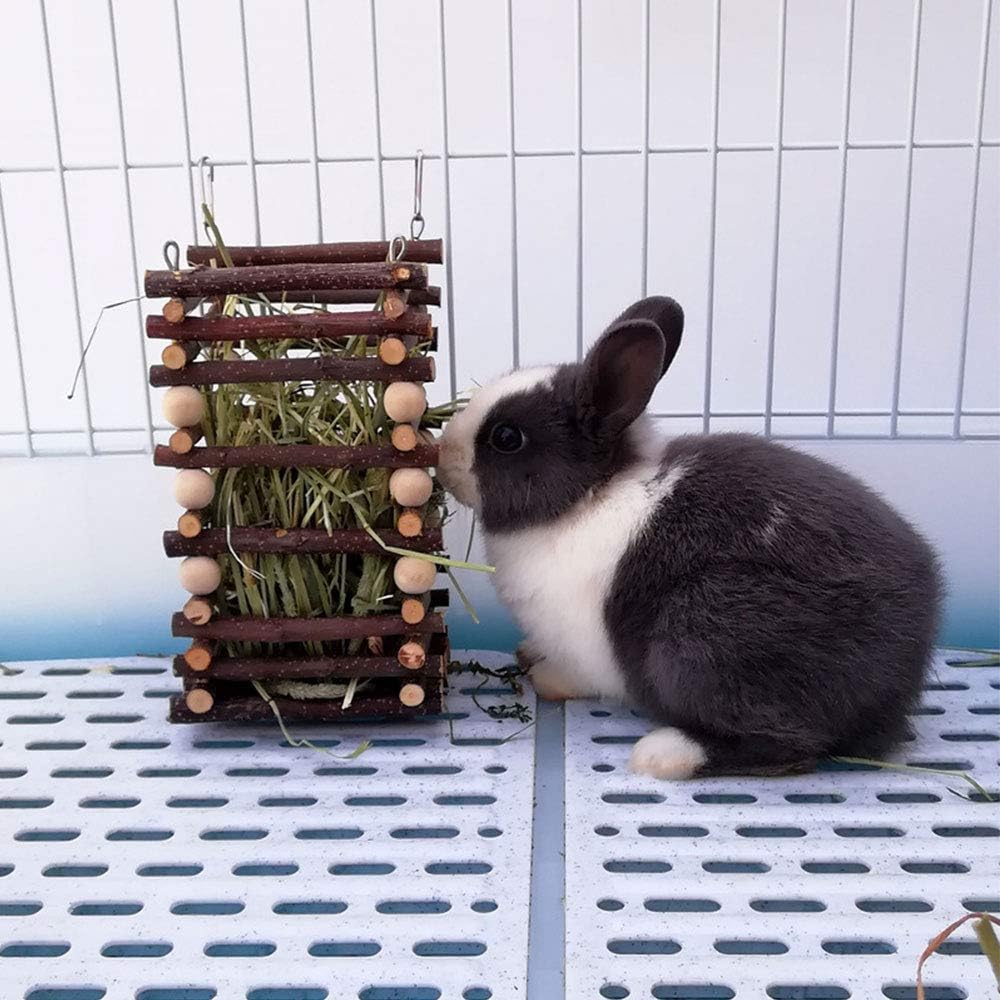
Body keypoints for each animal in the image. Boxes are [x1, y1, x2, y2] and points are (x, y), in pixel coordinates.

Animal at [437, 296, 943, 779]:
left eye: (506, 437)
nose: (442, 457)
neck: (587, 498)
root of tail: (901, 680)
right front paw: (528, 653)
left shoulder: (586, 648)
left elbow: (579, 676)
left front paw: (546, 678)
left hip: (704, 635)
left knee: (790, 746)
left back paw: (663, 755)